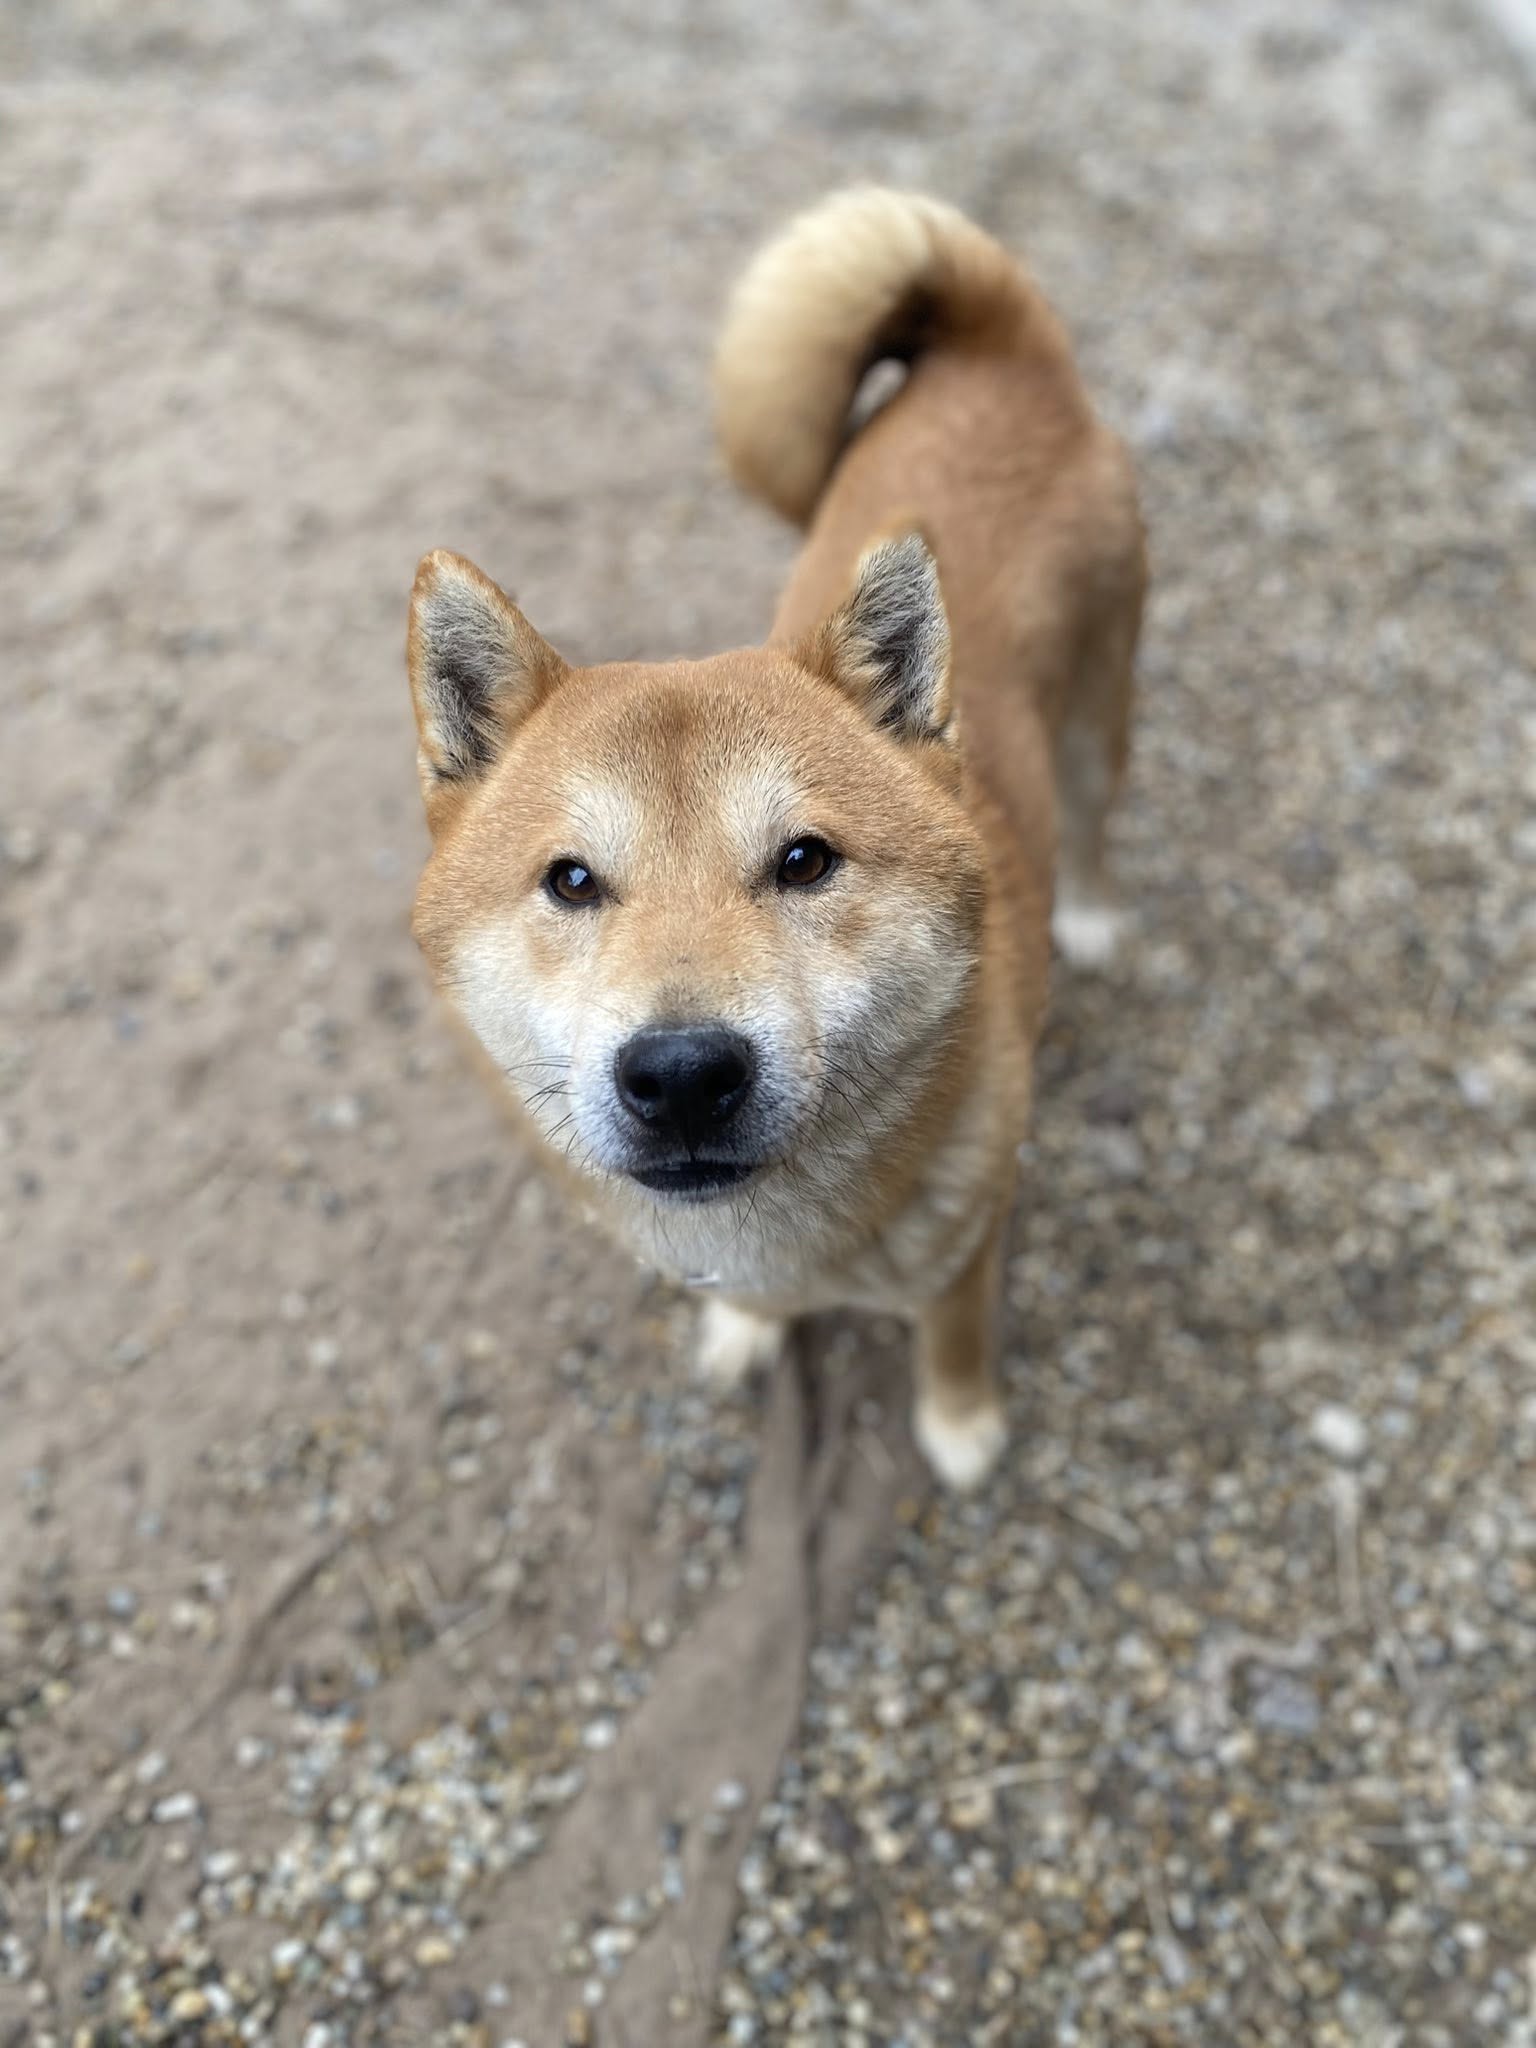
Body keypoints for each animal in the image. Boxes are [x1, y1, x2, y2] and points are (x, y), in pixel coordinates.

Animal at [404, 188, 1145, 1488]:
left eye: (804, 860)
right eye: (571, 880)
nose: (682, 1074)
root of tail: (995, 349)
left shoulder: (974, 1231)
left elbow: (953, 1339)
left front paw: (960, 1428)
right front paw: (748, 1331)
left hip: (1102, 709)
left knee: (1098, 816)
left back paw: (1095, 914)